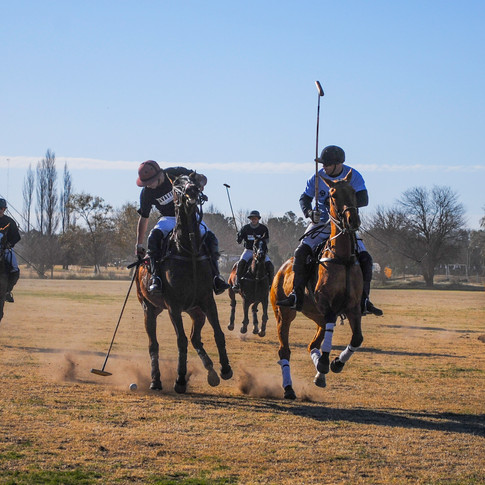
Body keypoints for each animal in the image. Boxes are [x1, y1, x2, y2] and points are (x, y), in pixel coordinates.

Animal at [135, 173, 233, 393]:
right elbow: (181, 341)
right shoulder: (174, 306)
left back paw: (212, 372)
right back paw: (155, 381)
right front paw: (179, 380)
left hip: (196, 311)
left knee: (195, 337)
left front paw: (226, 369)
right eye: (176, 185)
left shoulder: (207, 300)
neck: (188, 250)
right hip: (149, 308)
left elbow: (219, 334)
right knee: (154, 344)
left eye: (193, 180)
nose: (192, 192)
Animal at [270, 170, 363, 399]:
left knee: (312, 344)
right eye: (333, 195)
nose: (352, 220)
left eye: (354, 192)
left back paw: (319, 372)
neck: (342, 258)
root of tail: (281, 269)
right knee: (284, 350)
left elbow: (357, 338)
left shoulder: (354, 307)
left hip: (315, 315)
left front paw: (336, 363)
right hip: (283, 314)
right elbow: (332, 324)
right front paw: (325, 363)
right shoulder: (325, 303)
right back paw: (289, 388)